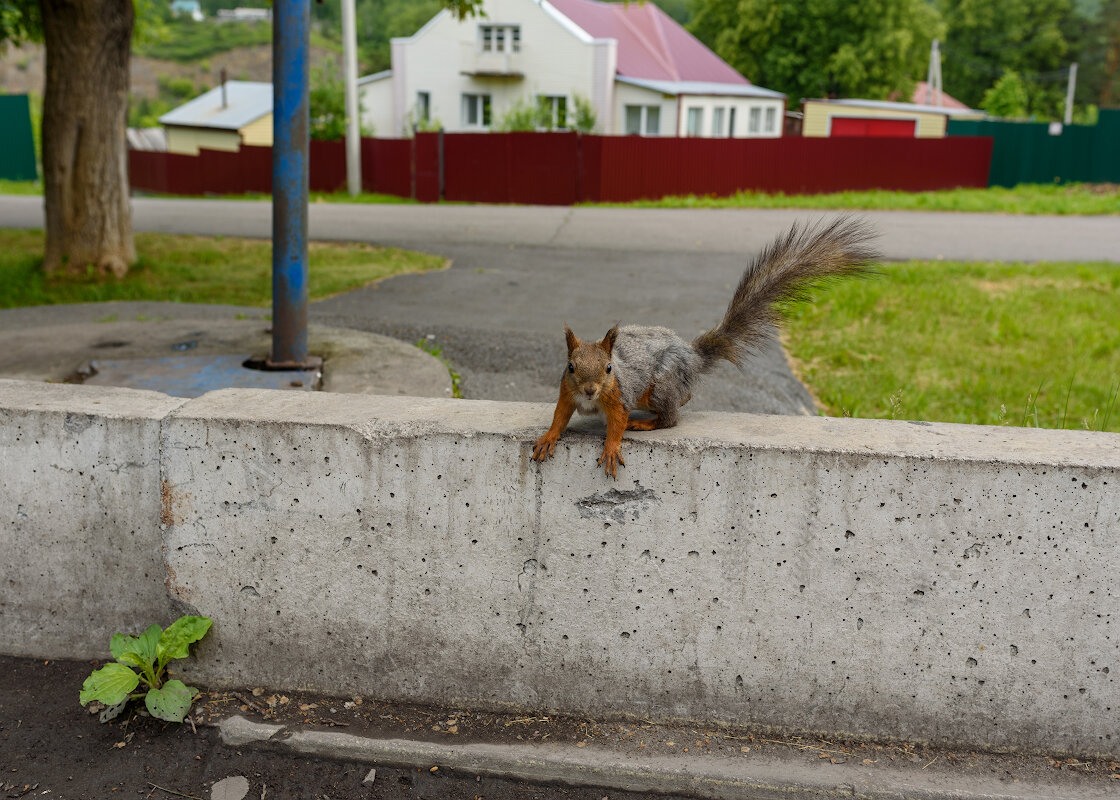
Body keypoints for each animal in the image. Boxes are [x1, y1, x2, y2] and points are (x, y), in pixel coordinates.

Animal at [533, 214, 882, 472]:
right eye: (571, 366)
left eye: (608, 368)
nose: (590, 390)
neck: (592, 398)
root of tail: (692, 354)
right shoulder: (567, 391)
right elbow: (560, 415)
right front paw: (548, 437)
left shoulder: (618, 396)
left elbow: (616, 423)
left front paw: (610, 447)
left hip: (661, 384)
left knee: (671, 418)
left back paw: (646, 424)